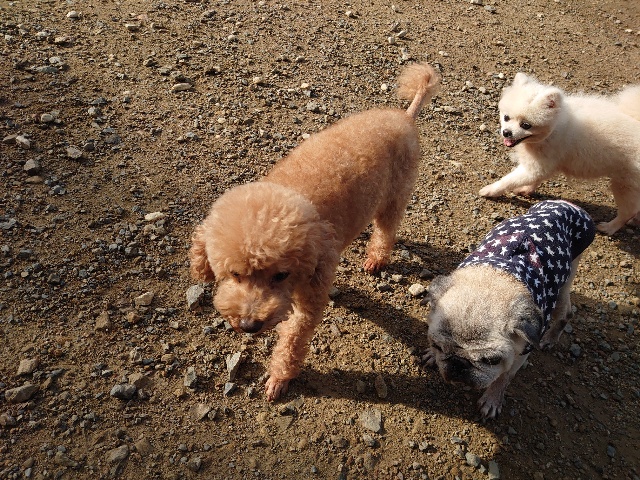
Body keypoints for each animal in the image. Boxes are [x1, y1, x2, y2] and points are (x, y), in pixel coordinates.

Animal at [190, 63, 440, 401]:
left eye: (281, 275)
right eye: (235, 274)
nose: (249, 324)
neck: (291, 194)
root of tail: (405, 115)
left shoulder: (309, 297)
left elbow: (293, 340)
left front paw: (279, 378)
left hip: (395, 195)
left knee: (386, 230)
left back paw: (376, 258)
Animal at [425, 200, 595, 418]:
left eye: (492, 361)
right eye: (437, 345)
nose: (458, 364)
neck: (495, 277)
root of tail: (566, 204)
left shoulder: (519, 354)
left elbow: (503, 377)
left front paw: (493, 398)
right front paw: (432, 355)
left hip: (562, 287)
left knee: (566, 313)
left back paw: (549, 339)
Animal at [479, 72, 640, 235]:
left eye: (526, 125)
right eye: (506, 117)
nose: (506, 132)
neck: (554, 127)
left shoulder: (538, 165)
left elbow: (509, 180)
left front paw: (490, 190)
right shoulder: (544, 164)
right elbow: (536, 180)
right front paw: (526, 189)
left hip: (625, 185)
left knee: (627, 212)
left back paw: (609, 227)